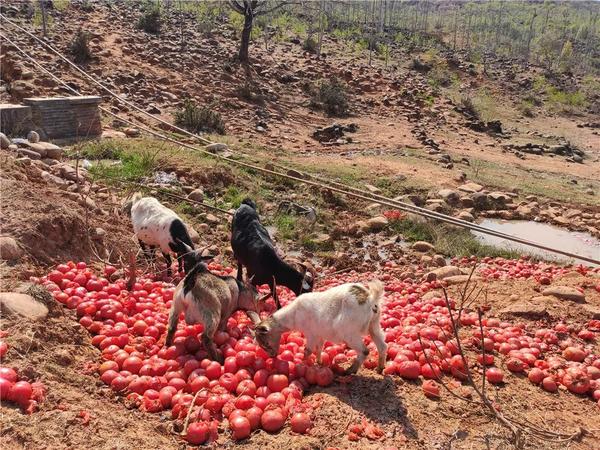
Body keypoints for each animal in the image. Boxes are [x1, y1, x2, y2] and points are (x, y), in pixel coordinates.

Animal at [254, 282, 386, 372]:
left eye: (265, 343)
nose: (272, 356)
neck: (293, 315)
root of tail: (370, 298)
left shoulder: (310, 334)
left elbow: (307, 350)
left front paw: (303, 364)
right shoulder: (320, 334)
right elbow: (319, 348)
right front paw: (319, 362)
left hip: (349, 333)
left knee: (364, 351)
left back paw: (350, 371)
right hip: (374, 325)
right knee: (382, 346)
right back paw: (379, 369)